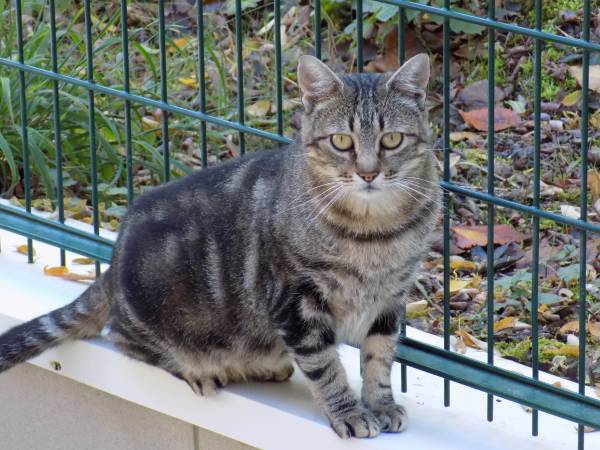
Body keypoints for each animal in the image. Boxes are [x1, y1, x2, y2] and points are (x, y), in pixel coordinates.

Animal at [0, 51, 440, 436]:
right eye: (342, 142)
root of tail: (112, 264)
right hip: (155, 315)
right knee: (122, 339)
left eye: (392, 139)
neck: (374, 234)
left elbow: (379, 357)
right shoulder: (296, 300)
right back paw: (199, 369)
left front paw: (381, 404)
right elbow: (324, 366)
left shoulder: (391, 298)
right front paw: (348, 412)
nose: (368, 173)